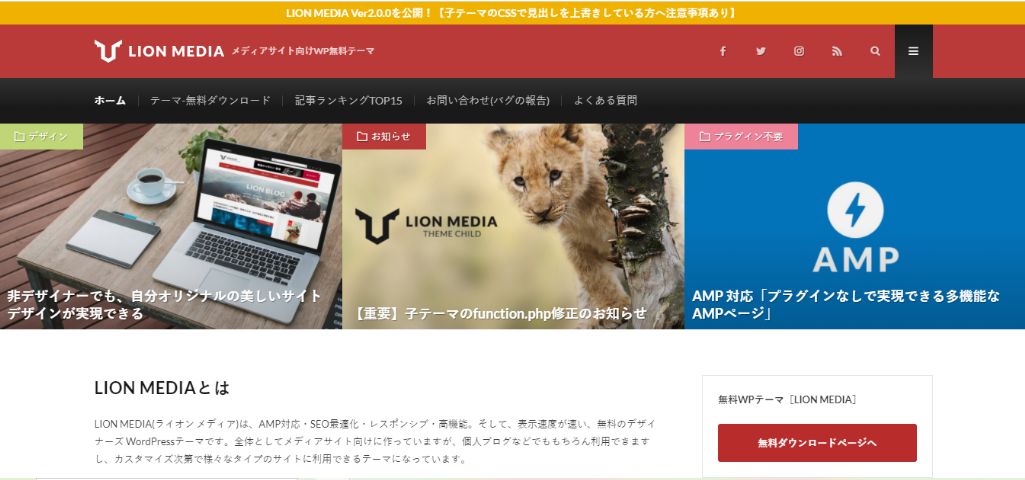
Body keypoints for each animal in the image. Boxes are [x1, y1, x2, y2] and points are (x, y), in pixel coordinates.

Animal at [487, 124, 629, 328]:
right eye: (519, 181)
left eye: (555, 174)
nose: (541, 212)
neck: (581, 207)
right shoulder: (574, 243)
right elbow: (594, 277)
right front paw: (613, 308)